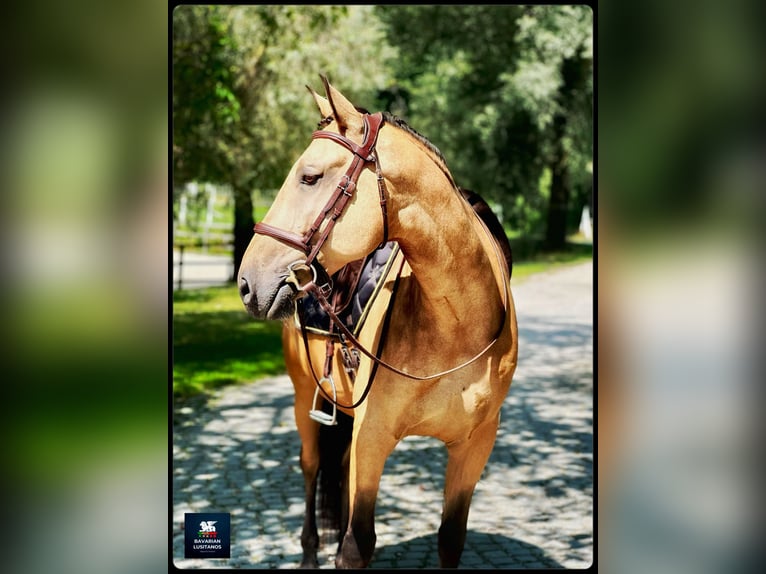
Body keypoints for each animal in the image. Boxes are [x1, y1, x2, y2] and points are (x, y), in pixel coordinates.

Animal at [237, 77, 520, 572]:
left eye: (309, 177)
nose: (247, 281)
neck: (456, 323)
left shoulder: (474, 446)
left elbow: (450, 538)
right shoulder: (373, 437)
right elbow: (357, 544)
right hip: (304, 401)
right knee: (312, 467)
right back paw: (308, 552)